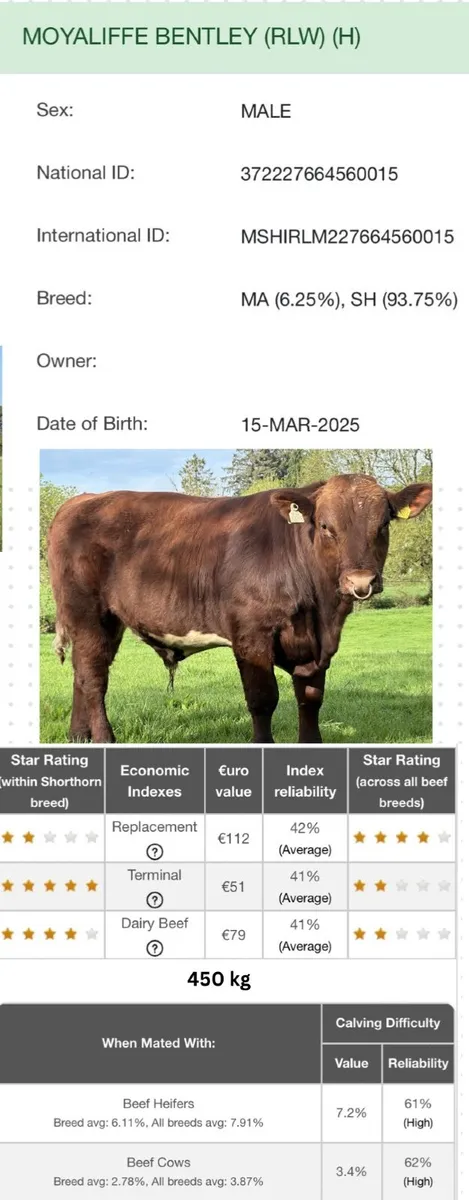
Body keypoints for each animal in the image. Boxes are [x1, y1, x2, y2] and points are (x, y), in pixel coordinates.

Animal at [47, 474, 432, 745]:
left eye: (383, 525)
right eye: (326, 526)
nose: (360, 581)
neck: (320, 611)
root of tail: (82, 501)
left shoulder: (316, 647)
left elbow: (310, 698)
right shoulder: (251, 634)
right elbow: (263, 699)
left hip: (108, 622)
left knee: (83, 673)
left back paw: (77, 736)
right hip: (88, 615)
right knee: (93, 678)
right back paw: (103, 738)